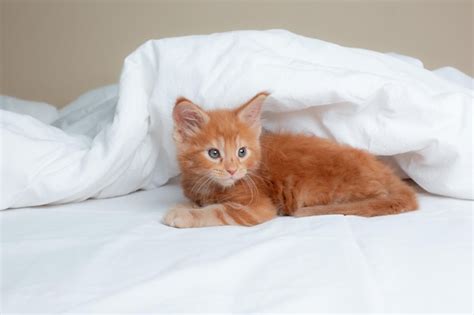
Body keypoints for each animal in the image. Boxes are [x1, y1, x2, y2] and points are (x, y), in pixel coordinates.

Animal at [164, 92, 418, 228]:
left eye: (242, 152)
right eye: (214, 153)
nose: (232, 170)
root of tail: (387, 173)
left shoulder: (256, 205)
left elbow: (217, 211)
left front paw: (184, 214)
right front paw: (186, 205)